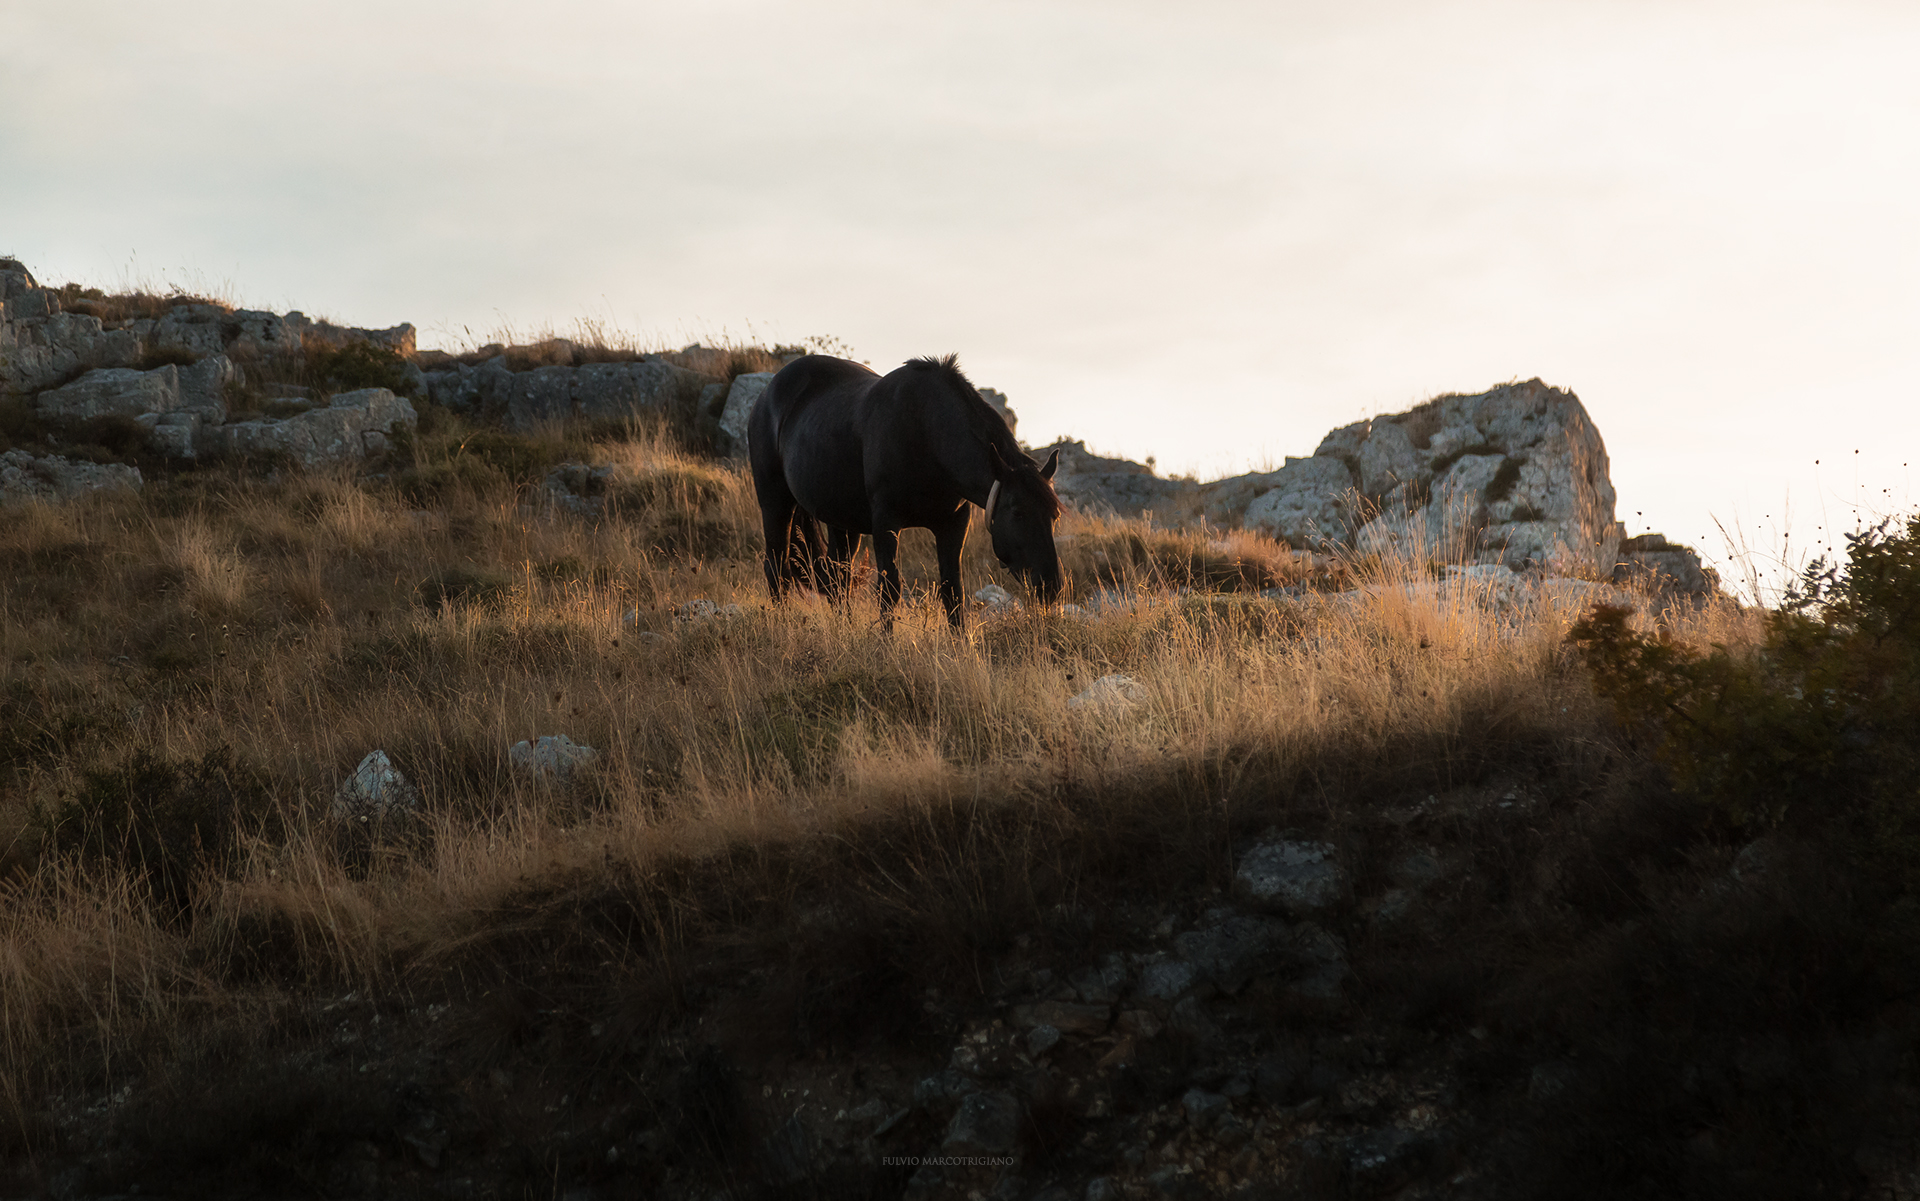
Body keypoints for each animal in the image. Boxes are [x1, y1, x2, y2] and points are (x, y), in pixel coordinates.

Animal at [747, 353, 1063, 628]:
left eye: (1054, 515)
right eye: (1018, 512)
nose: (1051, 586)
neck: (924, 431)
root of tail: (768, 393)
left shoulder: (953, 523)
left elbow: (953, 592)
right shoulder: (885, 522)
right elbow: (890, 590)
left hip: (841, 521)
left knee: (838, 578)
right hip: (775, 503)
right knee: (777, 568)